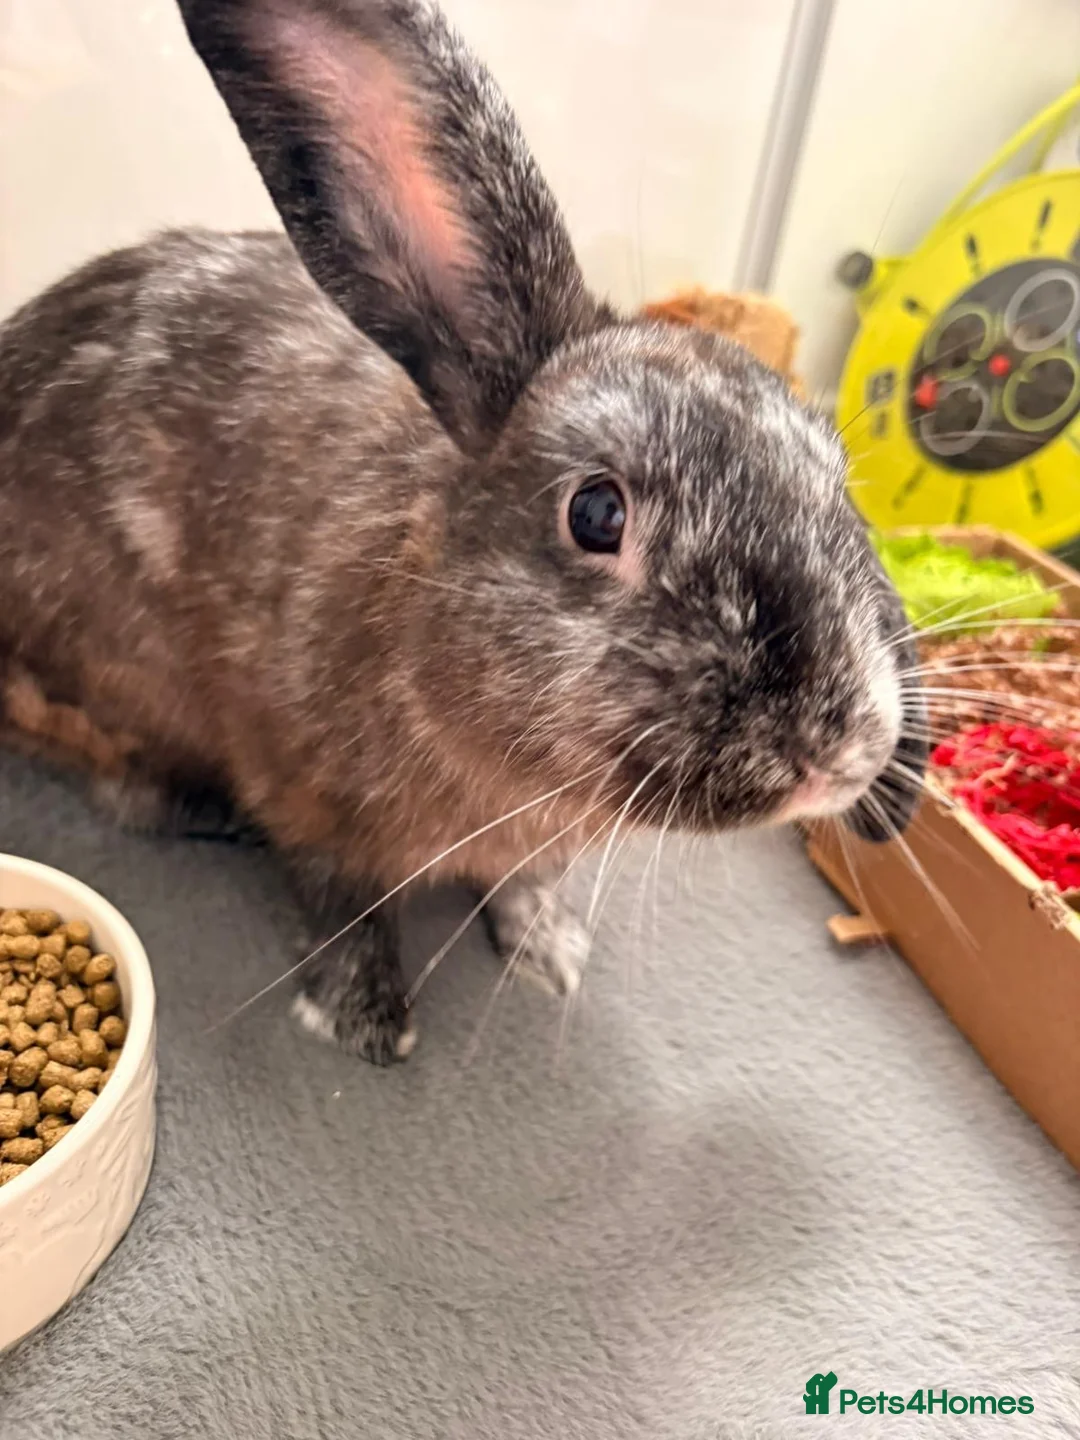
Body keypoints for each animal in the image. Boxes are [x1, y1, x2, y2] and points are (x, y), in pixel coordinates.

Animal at [0, 0, 926, 1064]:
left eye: (834, 480)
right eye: (596, 513)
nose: (835, 754)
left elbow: (521, 887)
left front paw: (552, 952)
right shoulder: (308, 801)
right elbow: (345, 908)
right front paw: (367, 1020)